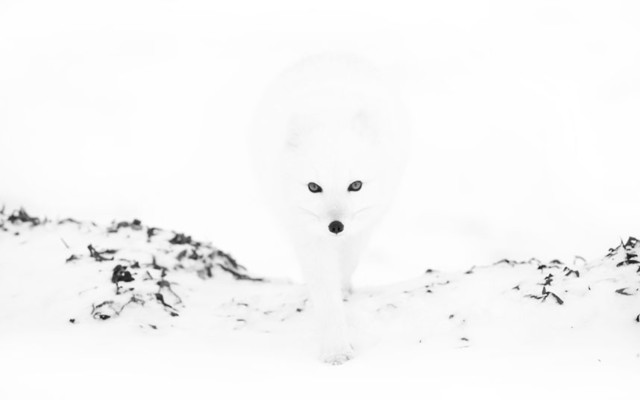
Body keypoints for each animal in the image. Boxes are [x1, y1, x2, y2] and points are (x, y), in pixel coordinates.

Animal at [249, 54, 410, 364]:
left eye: (355, 185)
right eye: (314, 187)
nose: (336, 226)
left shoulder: (360, 230)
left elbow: (345, 267)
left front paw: (343, 293)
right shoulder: (308, 236)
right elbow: (326, 292)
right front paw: (336, 349)